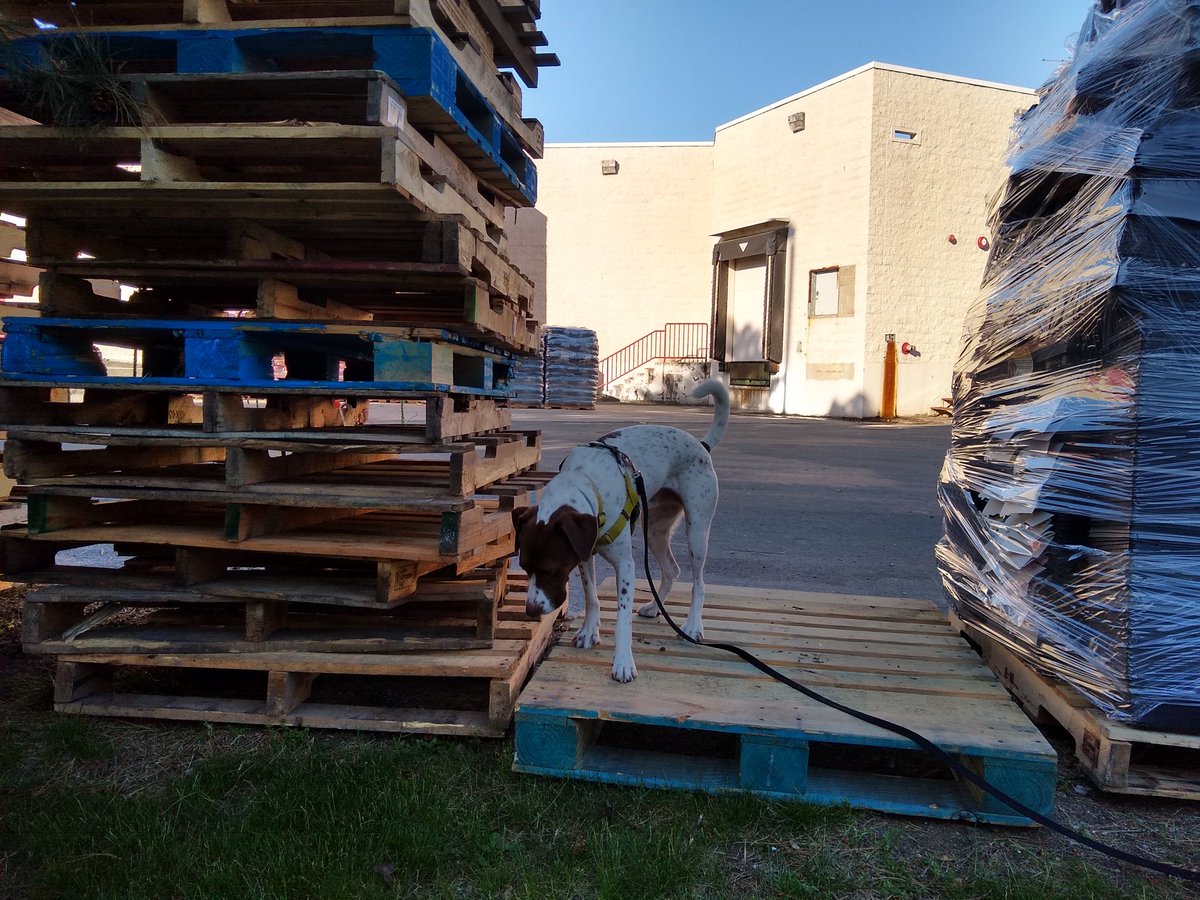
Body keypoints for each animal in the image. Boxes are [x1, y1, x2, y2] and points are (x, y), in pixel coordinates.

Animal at [511, 381, 724, 681]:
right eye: (524, 568)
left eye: (551, 571)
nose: (531, 611)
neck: (587, 479)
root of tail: (701, 445)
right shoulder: (582, 555)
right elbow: (591, 596)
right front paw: (589, 631)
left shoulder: (625, 565)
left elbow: (623, 618)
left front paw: (623, 662)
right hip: (655, 531)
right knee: (672, 569)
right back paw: (654, 608)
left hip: (697, 531)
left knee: (698, 582)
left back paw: (693, 625)